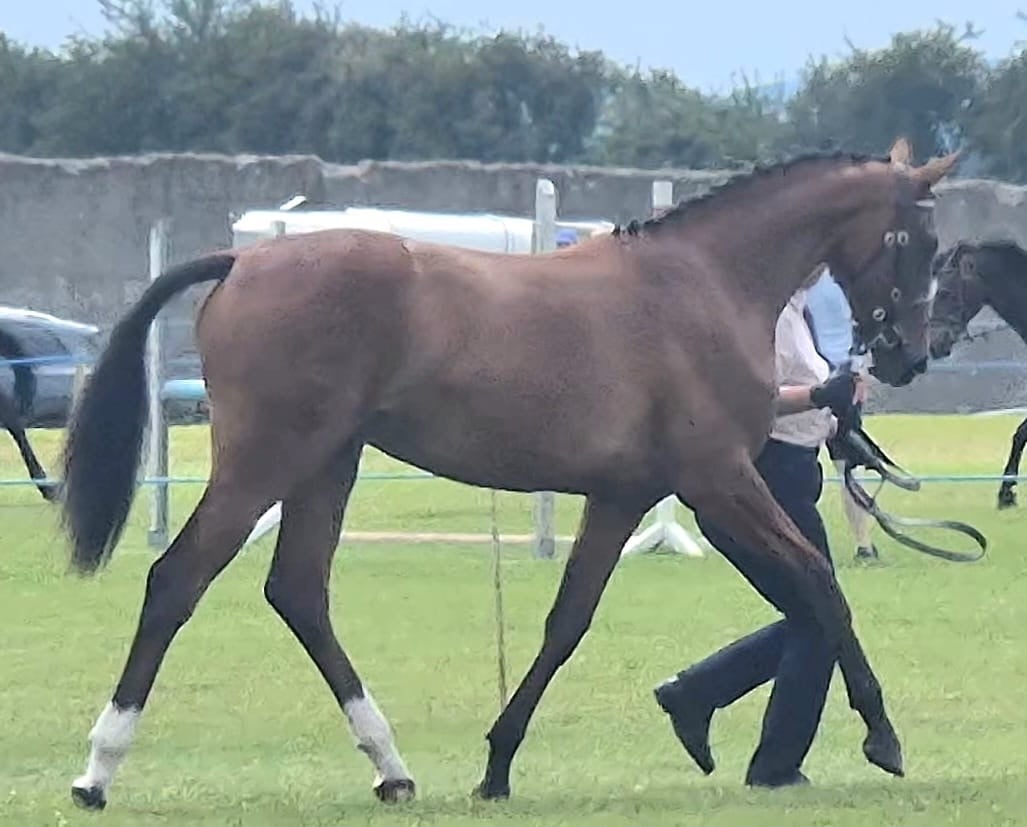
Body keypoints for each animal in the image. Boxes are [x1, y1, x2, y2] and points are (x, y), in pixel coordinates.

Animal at [58, 137, 958, 811]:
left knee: (299, 591)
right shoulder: (718, 480)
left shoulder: (622, 496)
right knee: (178, 579)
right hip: (267, 460)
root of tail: (241, 263)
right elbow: (818, 581)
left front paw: (496, 763)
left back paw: (391, 767)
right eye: (920, 242)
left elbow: (566, 622)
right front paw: (882, 734)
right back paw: (98, 768)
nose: (910, 355)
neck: (702, 281)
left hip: (327, 463)